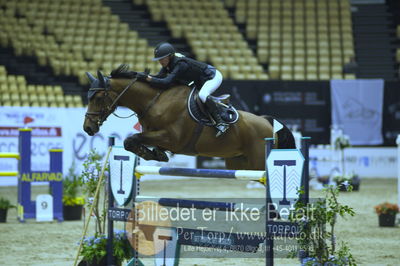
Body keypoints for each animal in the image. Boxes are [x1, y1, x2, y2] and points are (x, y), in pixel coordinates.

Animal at [83, 64, 296, 170]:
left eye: (99, 97)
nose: (88, 128)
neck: (154, 101)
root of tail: (268, 122)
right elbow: (132, 142)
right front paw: (155, 154)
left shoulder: (172, 138)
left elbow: (131, 139)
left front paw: (151, 154)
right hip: (239, 163)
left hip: (258, 162)